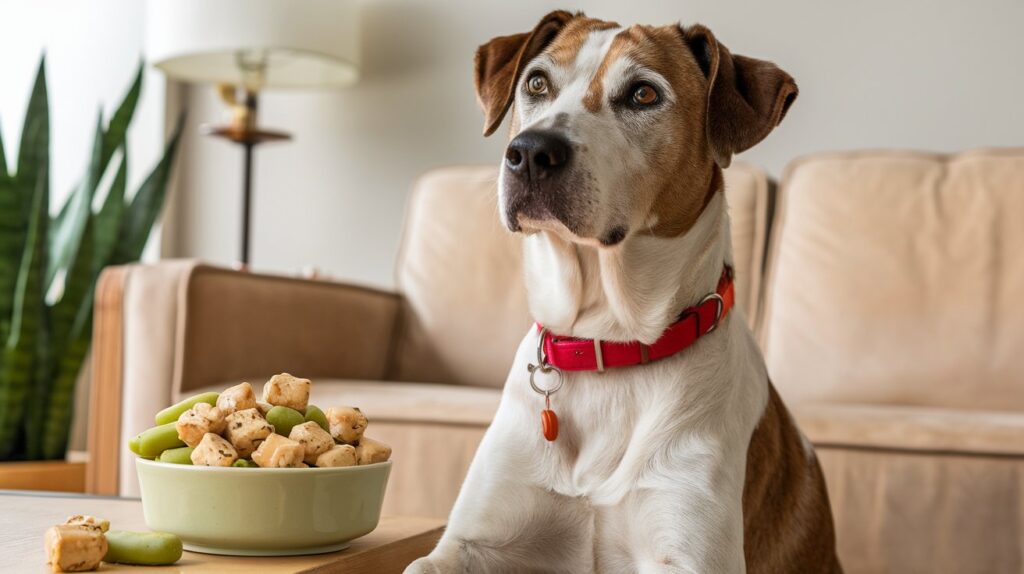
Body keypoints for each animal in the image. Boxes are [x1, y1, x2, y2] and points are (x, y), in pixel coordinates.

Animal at [405, 10, 839, 572]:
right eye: (537, 83)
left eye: (643, 94)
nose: (530, 152)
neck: (607, 341)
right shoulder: (469, 542)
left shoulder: (690, 552)